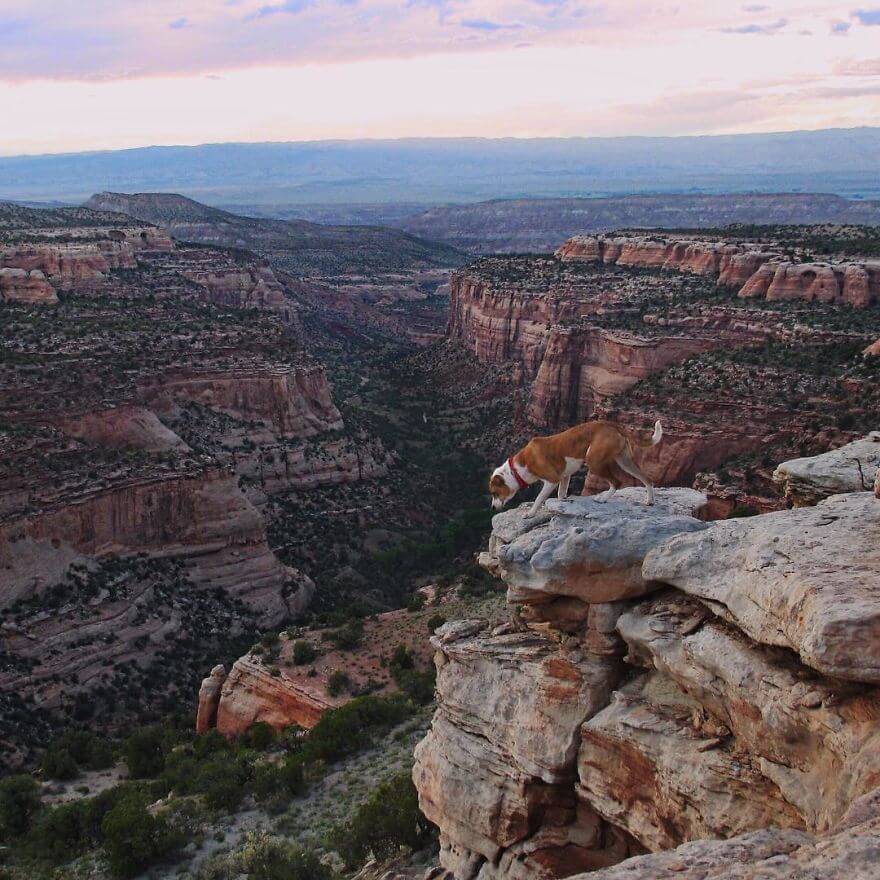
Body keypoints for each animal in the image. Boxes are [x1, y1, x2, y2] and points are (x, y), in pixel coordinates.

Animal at [488, 420, 660, 516]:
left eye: (495, 493)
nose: (492, 508)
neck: (517, 469)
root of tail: (613, 424)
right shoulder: (565, 476)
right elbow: (561, 493)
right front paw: (563, 501)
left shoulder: (552, 480)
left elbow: (539, 498)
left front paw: (530, 514)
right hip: (624, 460)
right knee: (647, 479)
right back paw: (650, 501)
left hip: (594, 461)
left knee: (616, 482)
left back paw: (603, 499)